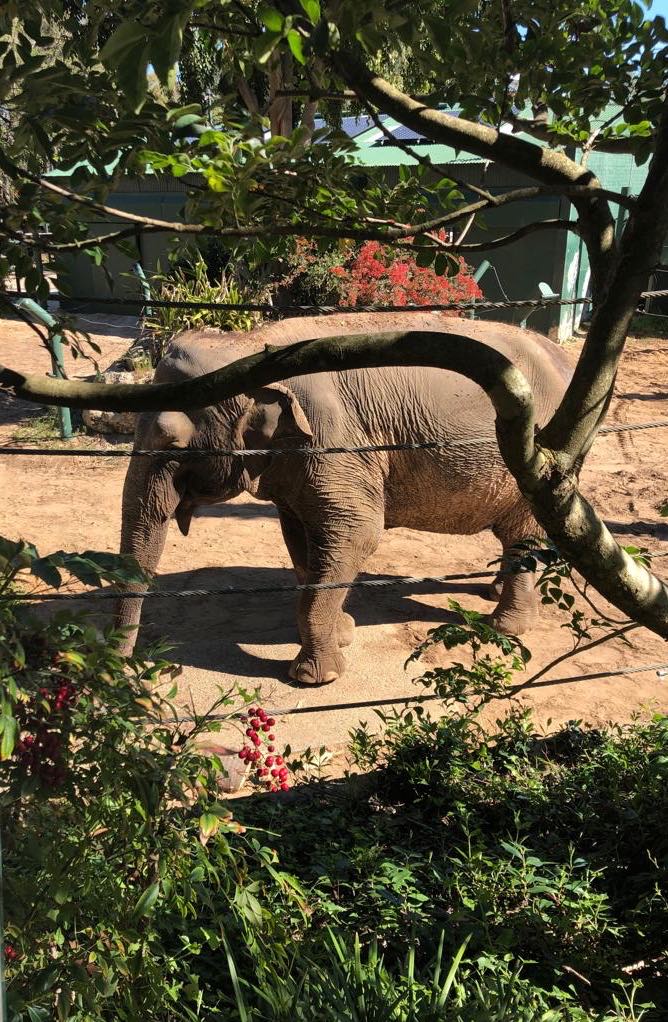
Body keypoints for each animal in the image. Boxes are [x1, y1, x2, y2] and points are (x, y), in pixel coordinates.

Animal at [116, 312, 572, 685]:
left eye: (174, 444)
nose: (135, 674)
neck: (247, 348)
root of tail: (557, 354)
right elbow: (301, 539)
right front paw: (344, 632)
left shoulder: (336, 443)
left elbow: (357, 534)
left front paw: (314, 677)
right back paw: (494, 592)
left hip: (536, 459)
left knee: (522, 533)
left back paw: (506, 626)